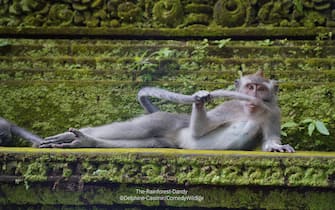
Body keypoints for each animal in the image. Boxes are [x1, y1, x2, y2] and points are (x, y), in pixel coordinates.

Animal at [40, 70, 296, 153]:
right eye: (250, 87)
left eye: (261, 88)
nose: (254, 97)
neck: (249, 111)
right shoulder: (229, 107)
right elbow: (199, 131)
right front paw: (201, 98)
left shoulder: (274, 112)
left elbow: (270, 138)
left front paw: (277, 146)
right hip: (165, 120)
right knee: (138, 128)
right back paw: (76, 135)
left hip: (166, 140)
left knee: (147, 141)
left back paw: (87, 142)